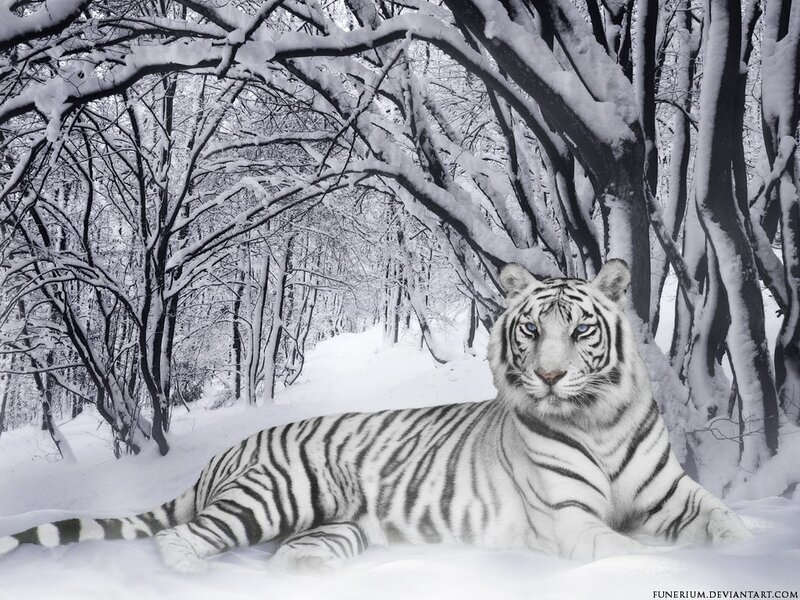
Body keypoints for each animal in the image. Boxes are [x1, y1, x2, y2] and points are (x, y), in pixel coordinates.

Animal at [0, 260, 751, 573]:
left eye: (581, 330)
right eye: (531, 331)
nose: (548, 376)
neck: (598, 419)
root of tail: (226, 452)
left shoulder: (674, 496)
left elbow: (727, 523)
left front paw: (746, 555)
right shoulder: (571, 521)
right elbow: (629, 553)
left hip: (338, 527)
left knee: (290, 555)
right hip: (277, 493)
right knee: (183, 540)